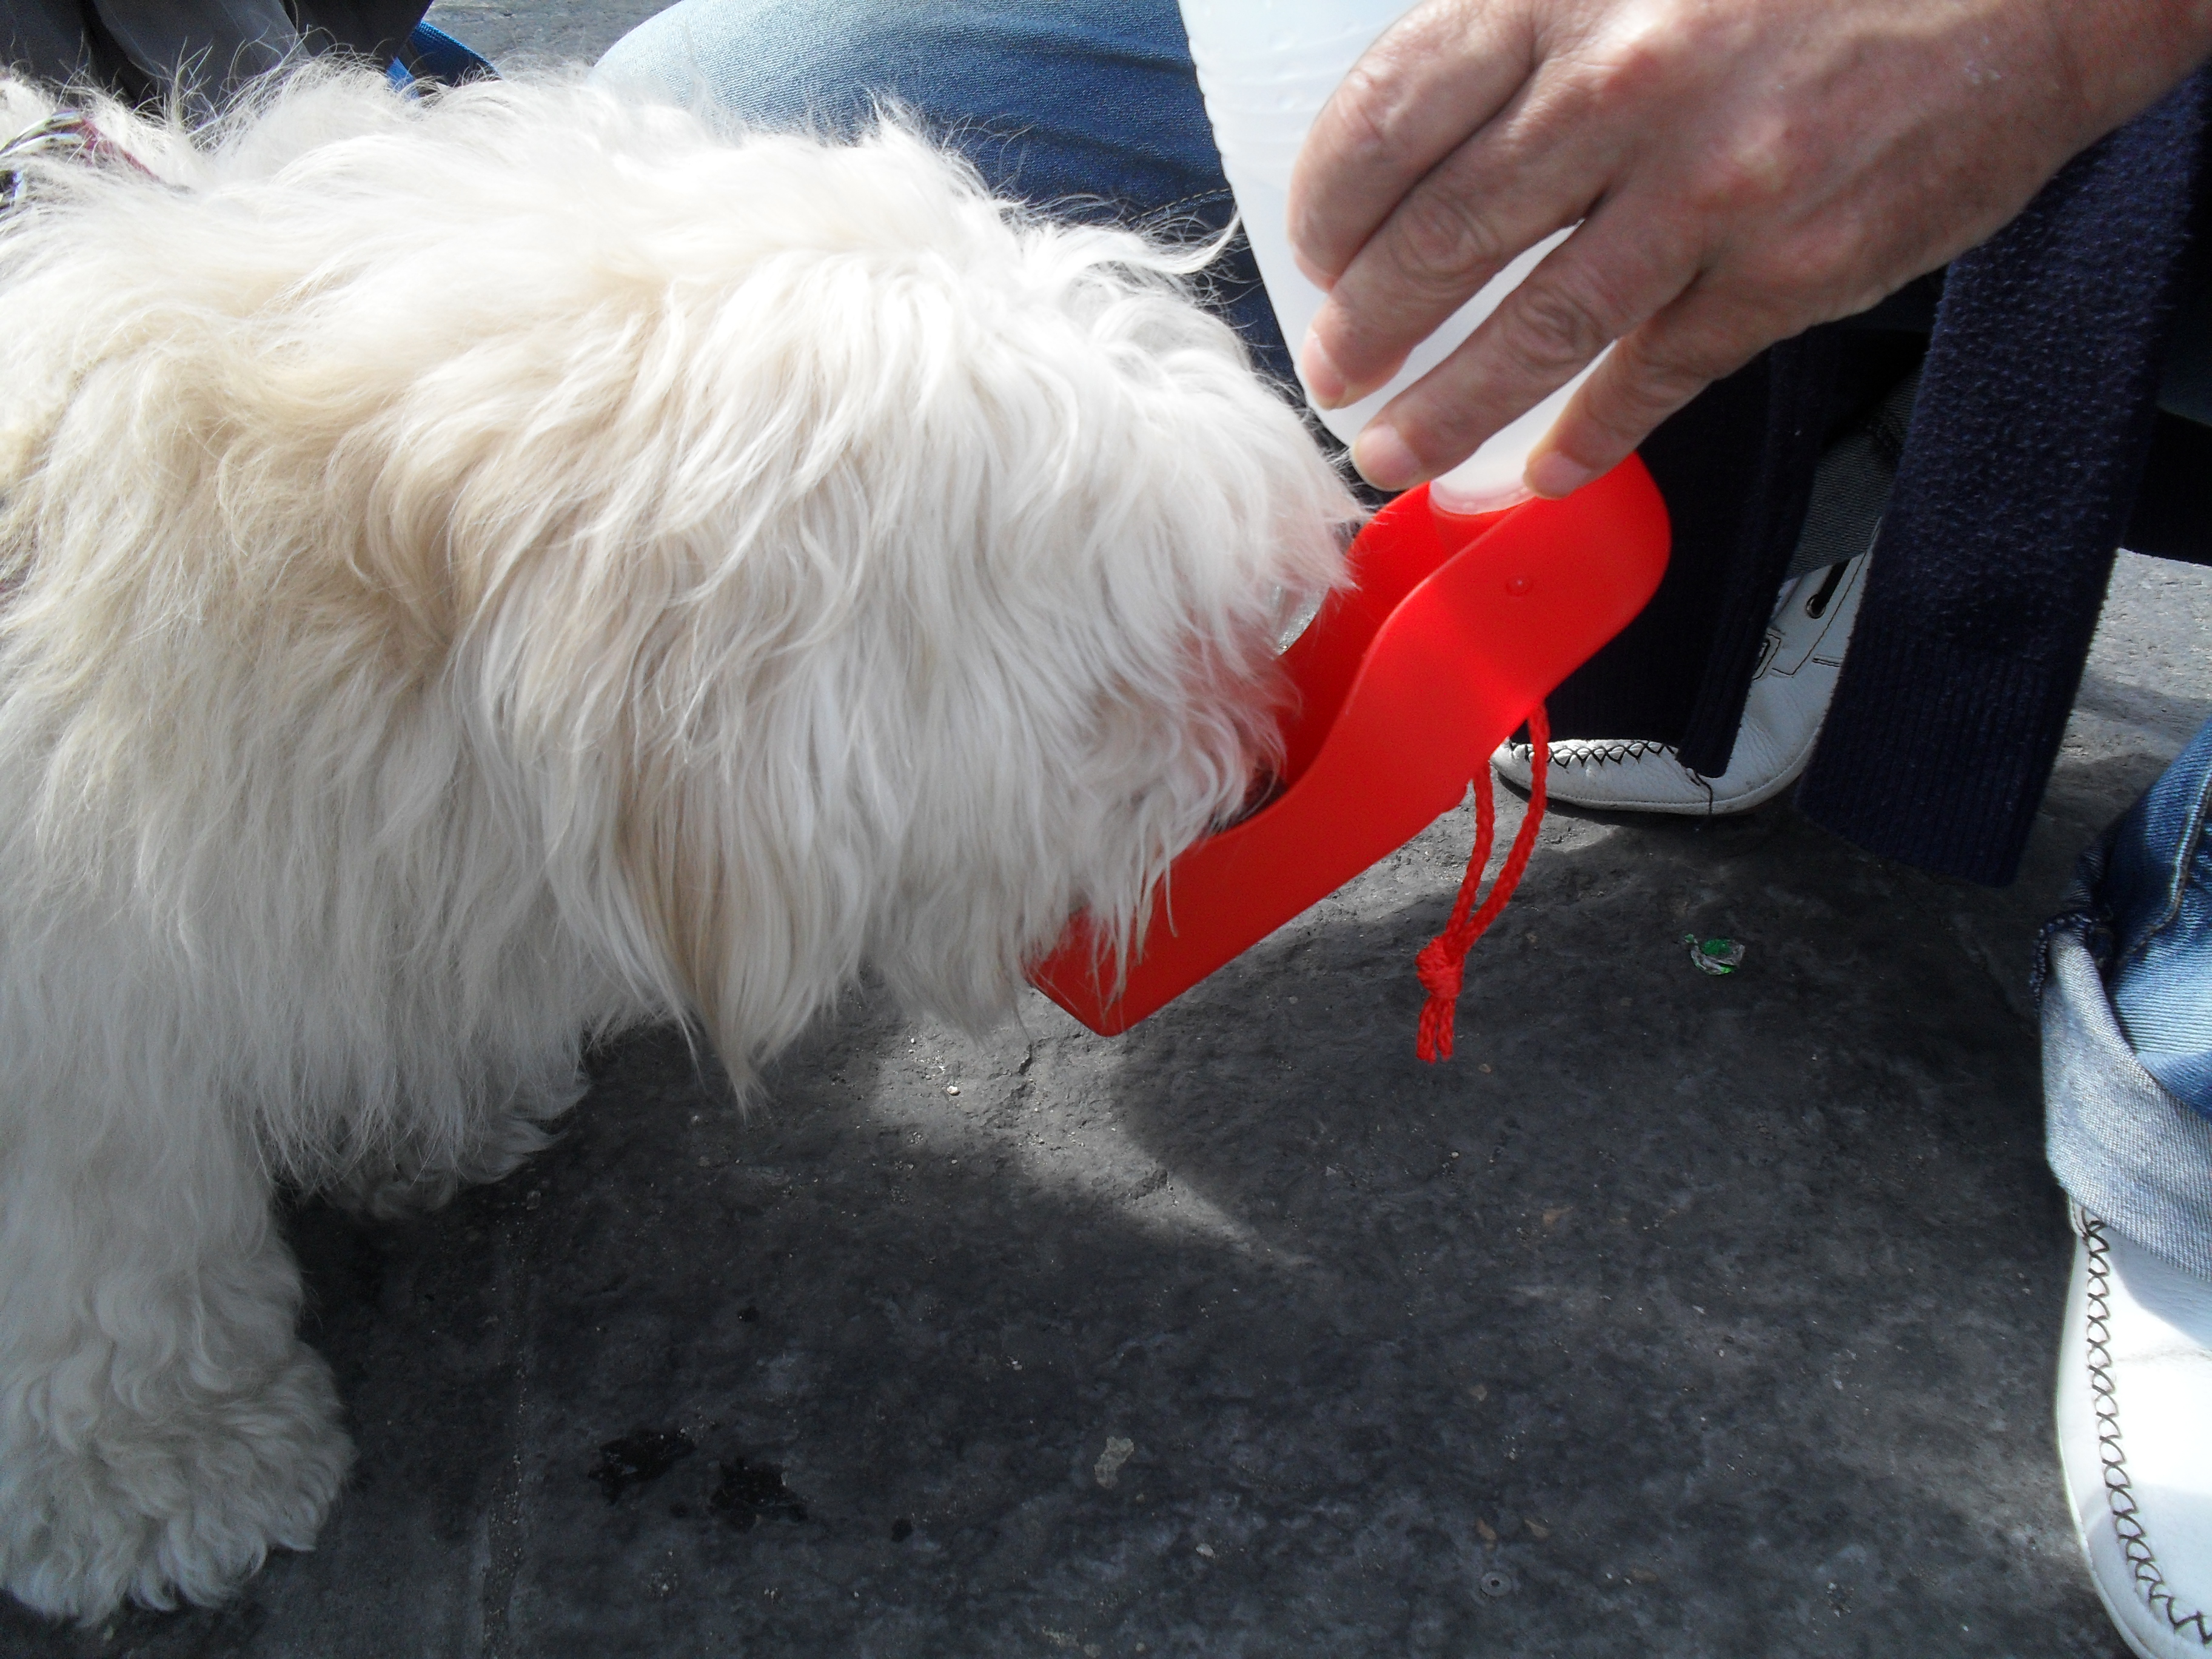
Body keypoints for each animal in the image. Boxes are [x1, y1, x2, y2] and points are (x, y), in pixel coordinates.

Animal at [0, 67, 1355, 1621]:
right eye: (1129, 659)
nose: (1251, 780)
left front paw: (429, 1104)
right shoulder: (72, 1021)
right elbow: (106, 1247)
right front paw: (163, 1466)